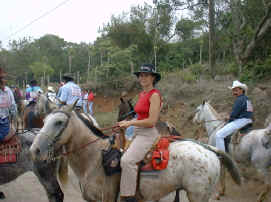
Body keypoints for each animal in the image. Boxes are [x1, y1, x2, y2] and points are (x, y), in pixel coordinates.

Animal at [30, 103, 242, 202]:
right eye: (45, 120)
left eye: (59, 122)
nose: (34, 149)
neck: (94, 158)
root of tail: (209, 149)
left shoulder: (107, 198)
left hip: (198, 195)